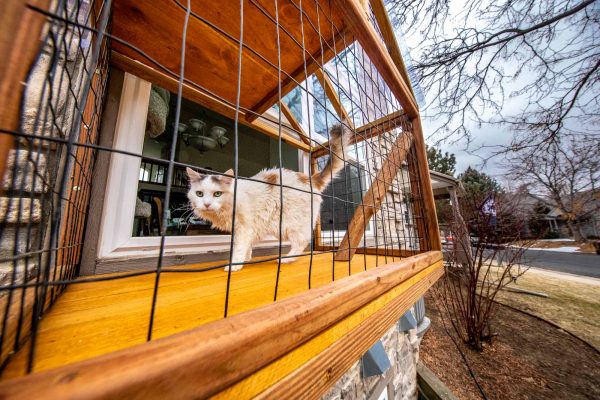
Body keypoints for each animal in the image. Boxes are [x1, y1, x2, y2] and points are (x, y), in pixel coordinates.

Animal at [185, 123, 350, 270]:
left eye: (217, 194)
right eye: (199, 193)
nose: (206, 204)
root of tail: (310, 178)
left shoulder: (243, 228)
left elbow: (239, 247)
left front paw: (234, 265)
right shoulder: (247, 229)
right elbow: (248, 246)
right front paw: (246, 259)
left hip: (288, 225)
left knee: (301, 242)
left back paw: (286, 259)